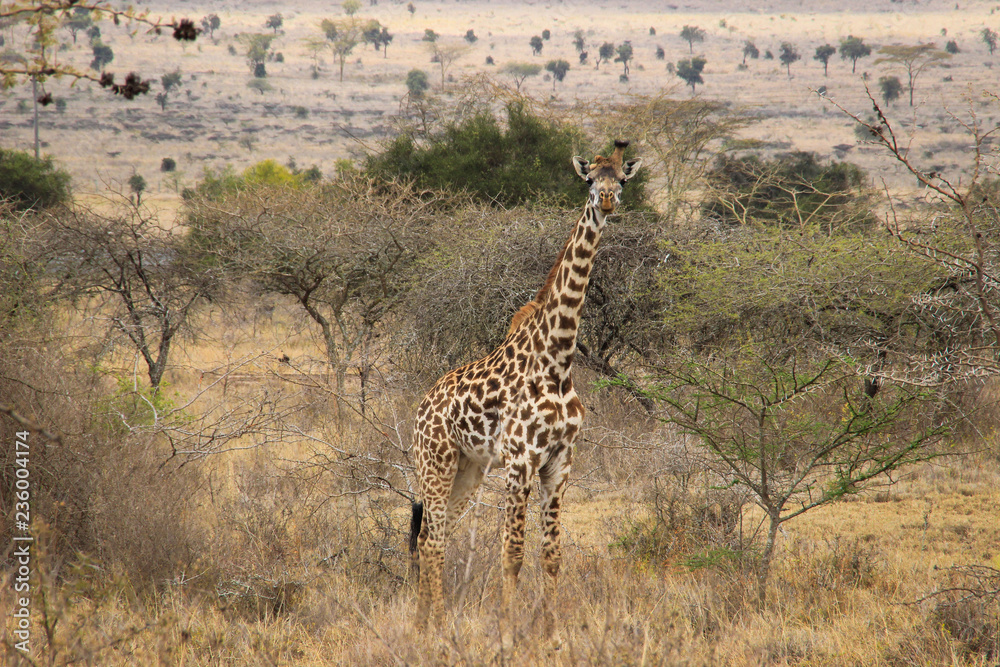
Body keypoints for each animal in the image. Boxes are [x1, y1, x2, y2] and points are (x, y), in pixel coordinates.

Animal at [409, 140, 642, 647]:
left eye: (622, 180)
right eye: (590, 179)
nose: (608, 201)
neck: (558, 362)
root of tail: (420, 408)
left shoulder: (560, 462)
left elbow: (551, 554)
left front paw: (551, 634)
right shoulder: (520, 460)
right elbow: (513, 551)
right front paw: (506, 633)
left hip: (469, 470)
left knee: (437, 536)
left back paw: (425, 623)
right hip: (435, 463)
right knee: (430, 538)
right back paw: (435, 626)